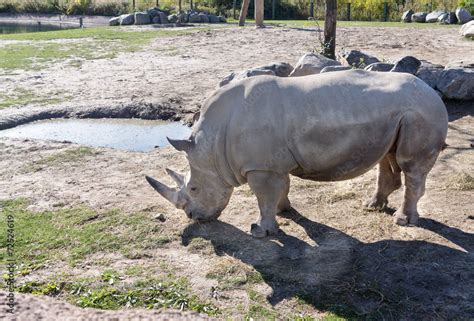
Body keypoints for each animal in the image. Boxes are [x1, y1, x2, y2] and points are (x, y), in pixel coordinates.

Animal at [147, 70, 448, 238]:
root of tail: (433, 92)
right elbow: (281, 189)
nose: (193, 217)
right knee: (388, 158)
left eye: (194, 189)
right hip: (400, 114)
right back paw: (372, 206)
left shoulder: (261, 166)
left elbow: (264, 197)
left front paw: (261, 232)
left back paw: (403, 221)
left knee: (410, 167)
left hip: (421, 111)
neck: (212, 145)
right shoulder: (273, 163)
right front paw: (285, 212)